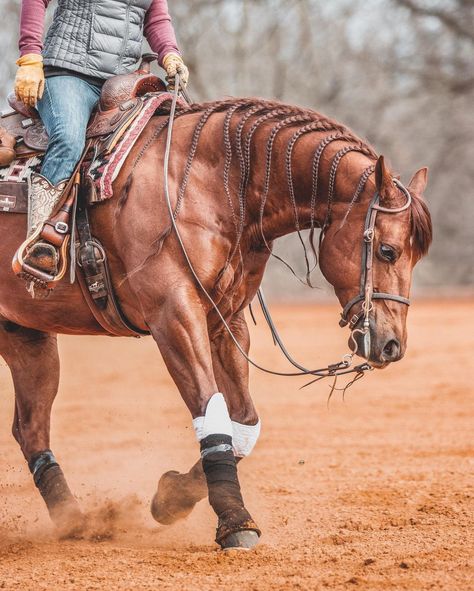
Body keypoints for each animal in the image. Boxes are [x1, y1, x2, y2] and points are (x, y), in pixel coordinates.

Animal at [0, 97, 432, 552]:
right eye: (387, 250)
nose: (392, 345)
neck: (214, 185)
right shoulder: (173, 314)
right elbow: (212, 411)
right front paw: (234, 520)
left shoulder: (224, 320)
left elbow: (244, 421)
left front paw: (171, 497)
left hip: (27, 337)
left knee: (30, 429)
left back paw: (75, 521)